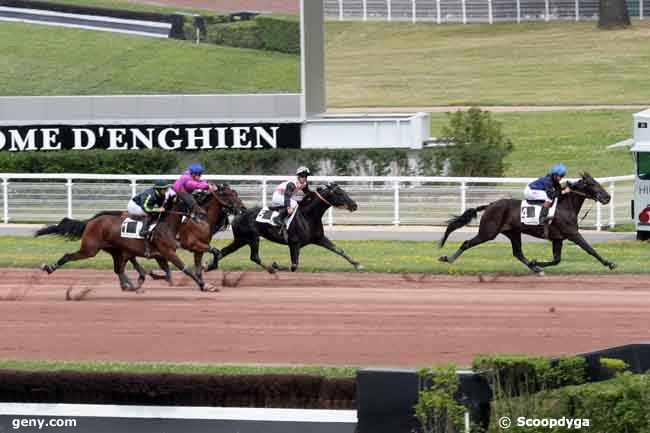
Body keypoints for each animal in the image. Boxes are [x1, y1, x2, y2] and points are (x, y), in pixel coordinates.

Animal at [34, 198, 213, 290]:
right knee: (68, 255)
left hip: (115, 249)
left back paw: (129, 284)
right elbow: (186, 269)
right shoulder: (167, 252)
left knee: (118, 268)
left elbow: (169, 272)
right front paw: (204, 285)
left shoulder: (161, 254)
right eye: (189, 201)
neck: (166, 225)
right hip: (90, 248)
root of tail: (90, 222)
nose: (203, 214)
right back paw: (49, 267)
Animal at [206, 183, 362, 272]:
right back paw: (271, 268)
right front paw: (276, 265)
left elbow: (339, 250)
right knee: (254, 256)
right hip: (252, 237)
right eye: (339, 193)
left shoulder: (319, 238)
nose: (354, 205)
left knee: (223, 251)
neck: (308, 216)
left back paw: (209, 265)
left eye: (344, 191)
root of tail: (239, 213)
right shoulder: (294, 243)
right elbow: (294, 265)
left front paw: (357, 264)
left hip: (241, 239)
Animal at [436, 172, 612, 274]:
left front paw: (537, 263)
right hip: (488, 232)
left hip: (513, 233)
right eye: (592, 184)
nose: (607, 197)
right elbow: (590, 249)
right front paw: (609, 263)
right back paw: (448, 259)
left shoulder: (558, 238)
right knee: (466, 243)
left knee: (518, 253)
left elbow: (556, 259)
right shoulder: (572, 234)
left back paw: (535, 268)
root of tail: (490, 204)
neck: (564, 206)